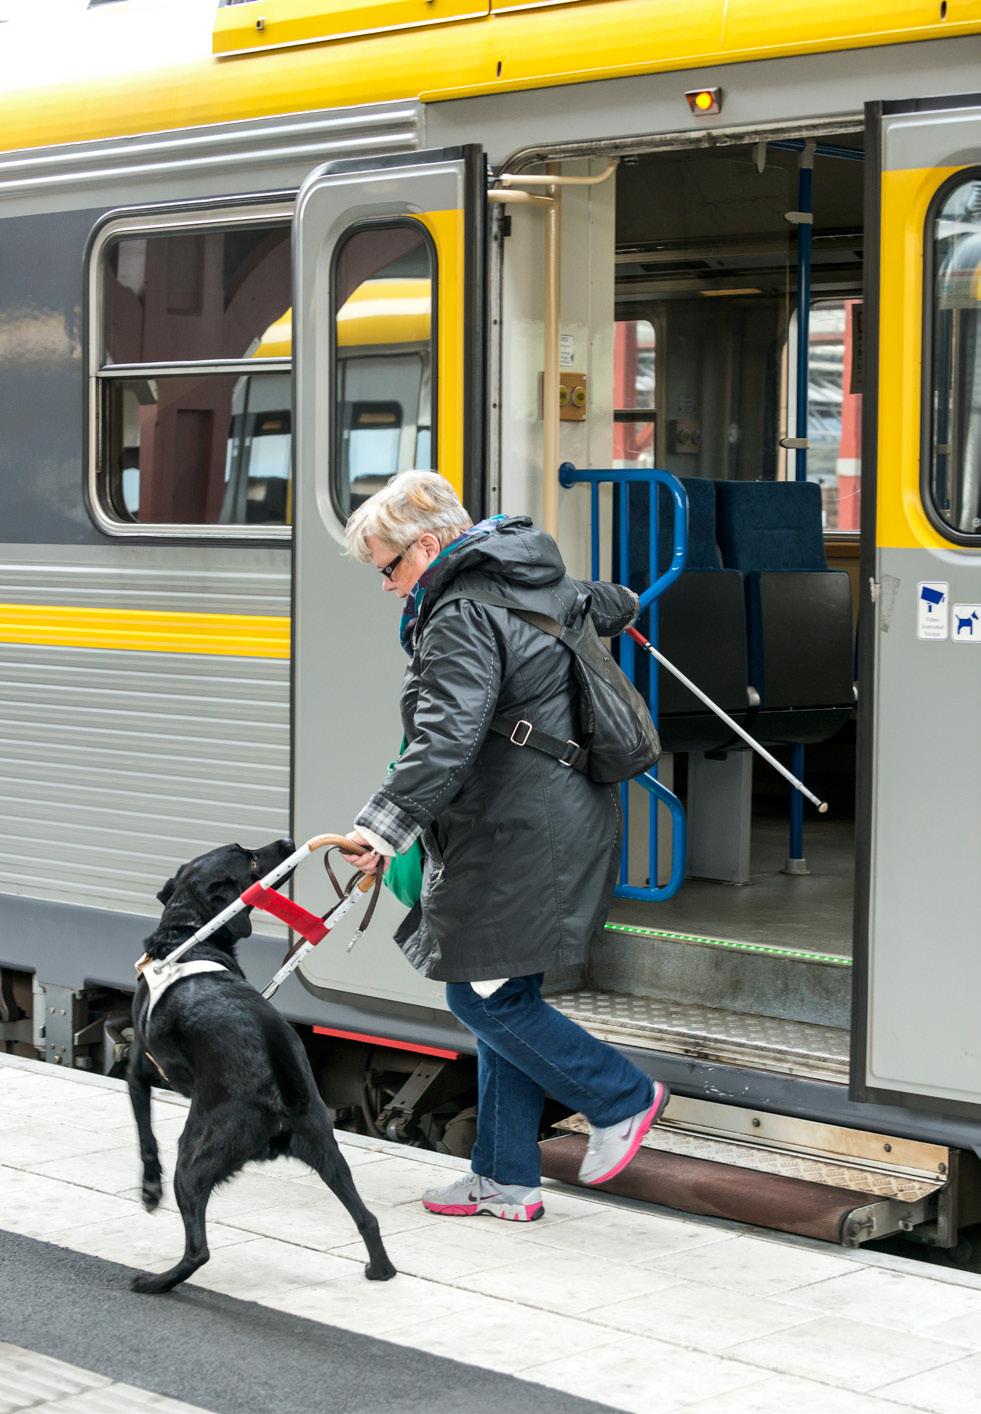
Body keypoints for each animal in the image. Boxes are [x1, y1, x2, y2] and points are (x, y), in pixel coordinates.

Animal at [126, 837, 395, 1295]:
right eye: (249, 860)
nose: (287, 842)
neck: (185, 935)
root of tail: (281, 1087)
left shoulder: (138, 1069)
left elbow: (146, 1136)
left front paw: (149, 1191)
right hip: (327, 1149)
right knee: (368, 1218)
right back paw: (382, 1271)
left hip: (195, 1154)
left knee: (199, 1249)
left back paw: (156, 1282)